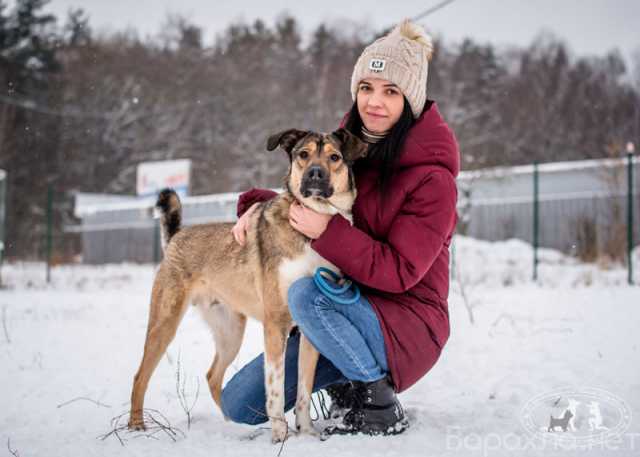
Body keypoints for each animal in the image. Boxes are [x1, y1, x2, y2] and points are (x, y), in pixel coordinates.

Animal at [127, 126, 368, 440]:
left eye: (335, 157)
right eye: (303, 154)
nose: (315, 173)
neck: (311, 231)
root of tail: (176, 237)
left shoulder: (308, 332)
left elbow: (304, 389)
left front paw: (306, 433)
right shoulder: (275, 324)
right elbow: (276, 388)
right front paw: (280, 435)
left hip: (230, 331)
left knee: (213, 376)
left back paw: (231, 423)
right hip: (164, 324)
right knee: (140, 376)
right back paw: (136, 426)